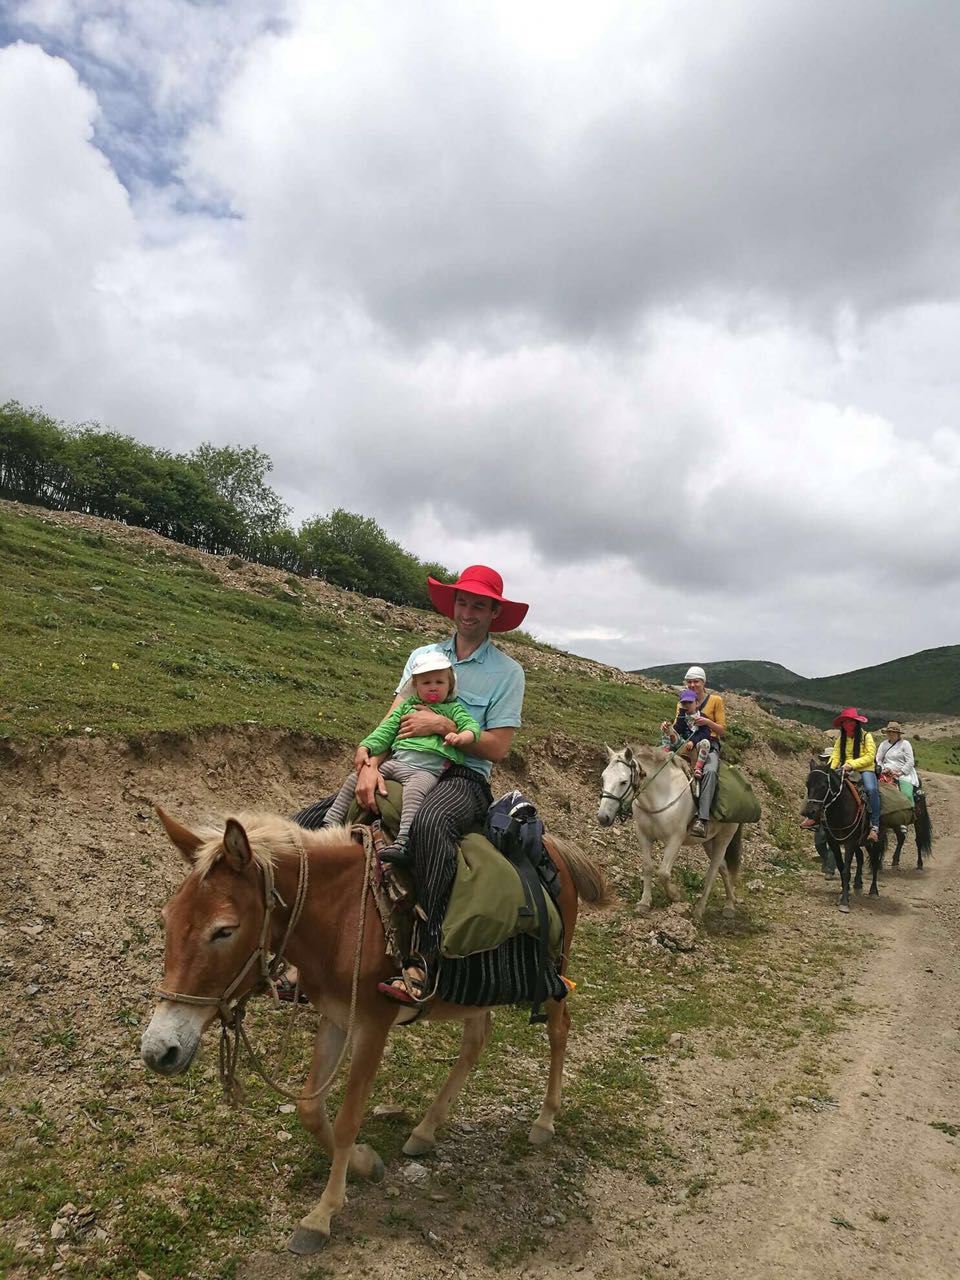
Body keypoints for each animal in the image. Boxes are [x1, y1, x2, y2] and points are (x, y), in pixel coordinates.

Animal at [138, 808, 604, 1249]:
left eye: (224, 930)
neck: (341, 917)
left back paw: (544, 1121)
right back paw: (425, 1130)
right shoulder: (335, 1017)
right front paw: (365, 1163)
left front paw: (322, 1215)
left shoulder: (372, 1026)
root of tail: (554, 848)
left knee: (560, 1029)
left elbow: (348, 1117)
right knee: (476, 1041)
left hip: (552, 977)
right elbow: (311, 1109)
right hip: (477, 991)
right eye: (166, 918)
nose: (159, 1050)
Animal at [599, 742, 747, 921]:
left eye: (623, 781)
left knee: (712, 872)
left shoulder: (675, 840)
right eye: (603, 778)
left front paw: (675, 895)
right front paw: (644, 903)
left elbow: (663, 873)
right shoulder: (643, 835)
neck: (661, 795)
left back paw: (699, 911)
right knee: (723, 868)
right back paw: (730, 904)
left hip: (723, 839)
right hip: (708, 842)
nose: (602, 817)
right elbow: (647, 867)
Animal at [803, 762, 885, 916]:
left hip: (875, 840)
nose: (809, 812)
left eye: (823, 785)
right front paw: (843, 891)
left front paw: (844, 902)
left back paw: (873, 891)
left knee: (874, 860)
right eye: (807, 784)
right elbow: (841, 867)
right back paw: (858, 885)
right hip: (860, 841)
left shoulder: (849, 842)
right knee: (860, 857)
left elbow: (846, 870)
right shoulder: (834, 842)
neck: (840, 809)